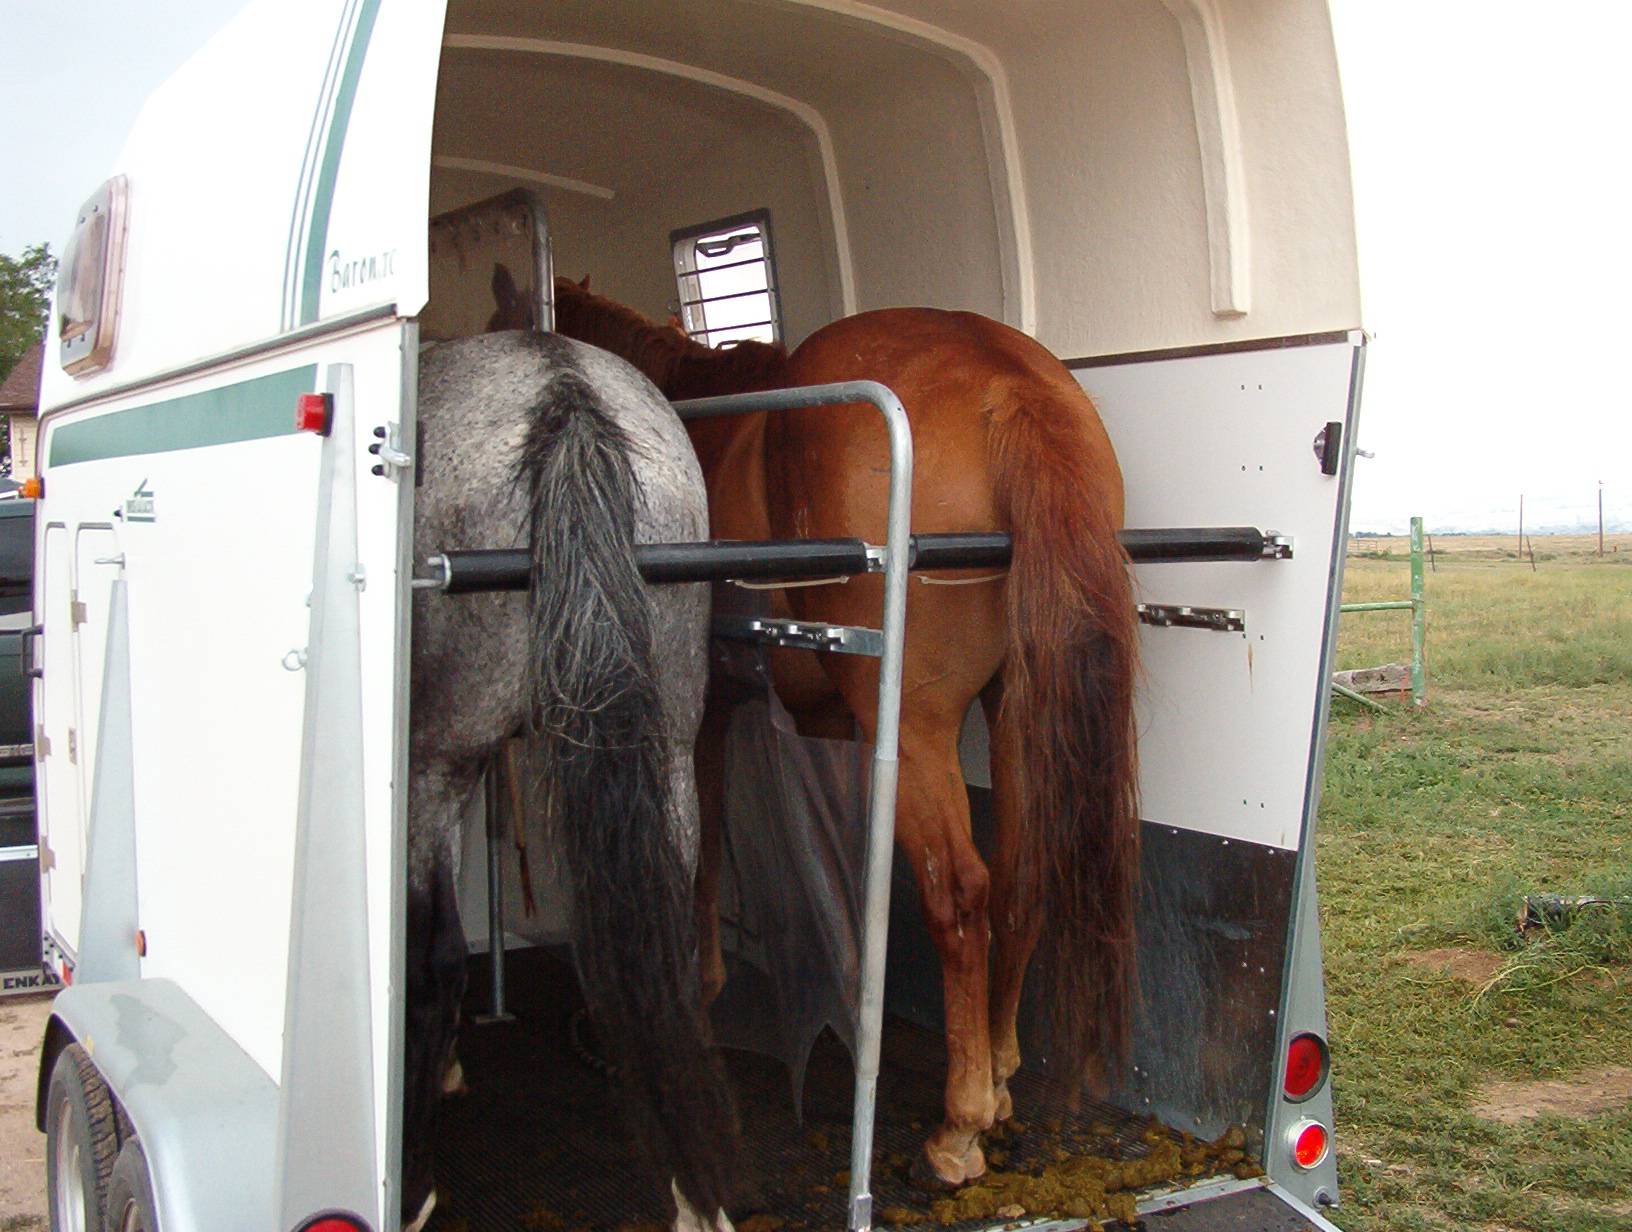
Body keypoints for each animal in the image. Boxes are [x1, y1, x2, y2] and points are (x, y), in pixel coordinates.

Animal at [404, 329, 737, 1231]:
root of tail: (567, 402)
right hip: (667, 748)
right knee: (661, 950)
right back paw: (692, 1197)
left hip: (433, 762)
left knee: (432, 958)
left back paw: (410, 1184)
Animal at [553, 278, 1140, 1189]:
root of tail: (1007, 381)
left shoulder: (698, 713)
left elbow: (698, 849)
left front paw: (696, 987)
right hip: (1011, 709)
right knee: (1018, 876)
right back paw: (1000, 1076)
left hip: (918, 725)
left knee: (959, 892)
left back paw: (958, 1126)